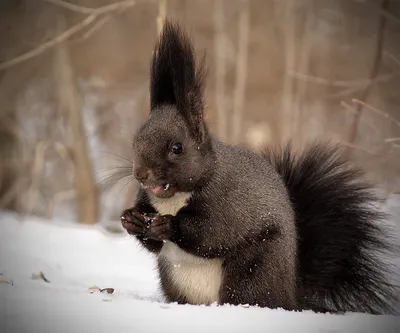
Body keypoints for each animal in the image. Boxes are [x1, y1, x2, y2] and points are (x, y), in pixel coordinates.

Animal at [120, 19, 398, 312]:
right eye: (137, 139)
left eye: (177, 148)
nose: (140, 174)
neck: (174, 199)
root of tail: (290, 296)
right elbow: (154, 245)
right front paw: (131, 219)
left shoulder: (227, 205)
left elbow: (211, 233)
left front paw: (168, 226)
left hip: (253, 271)